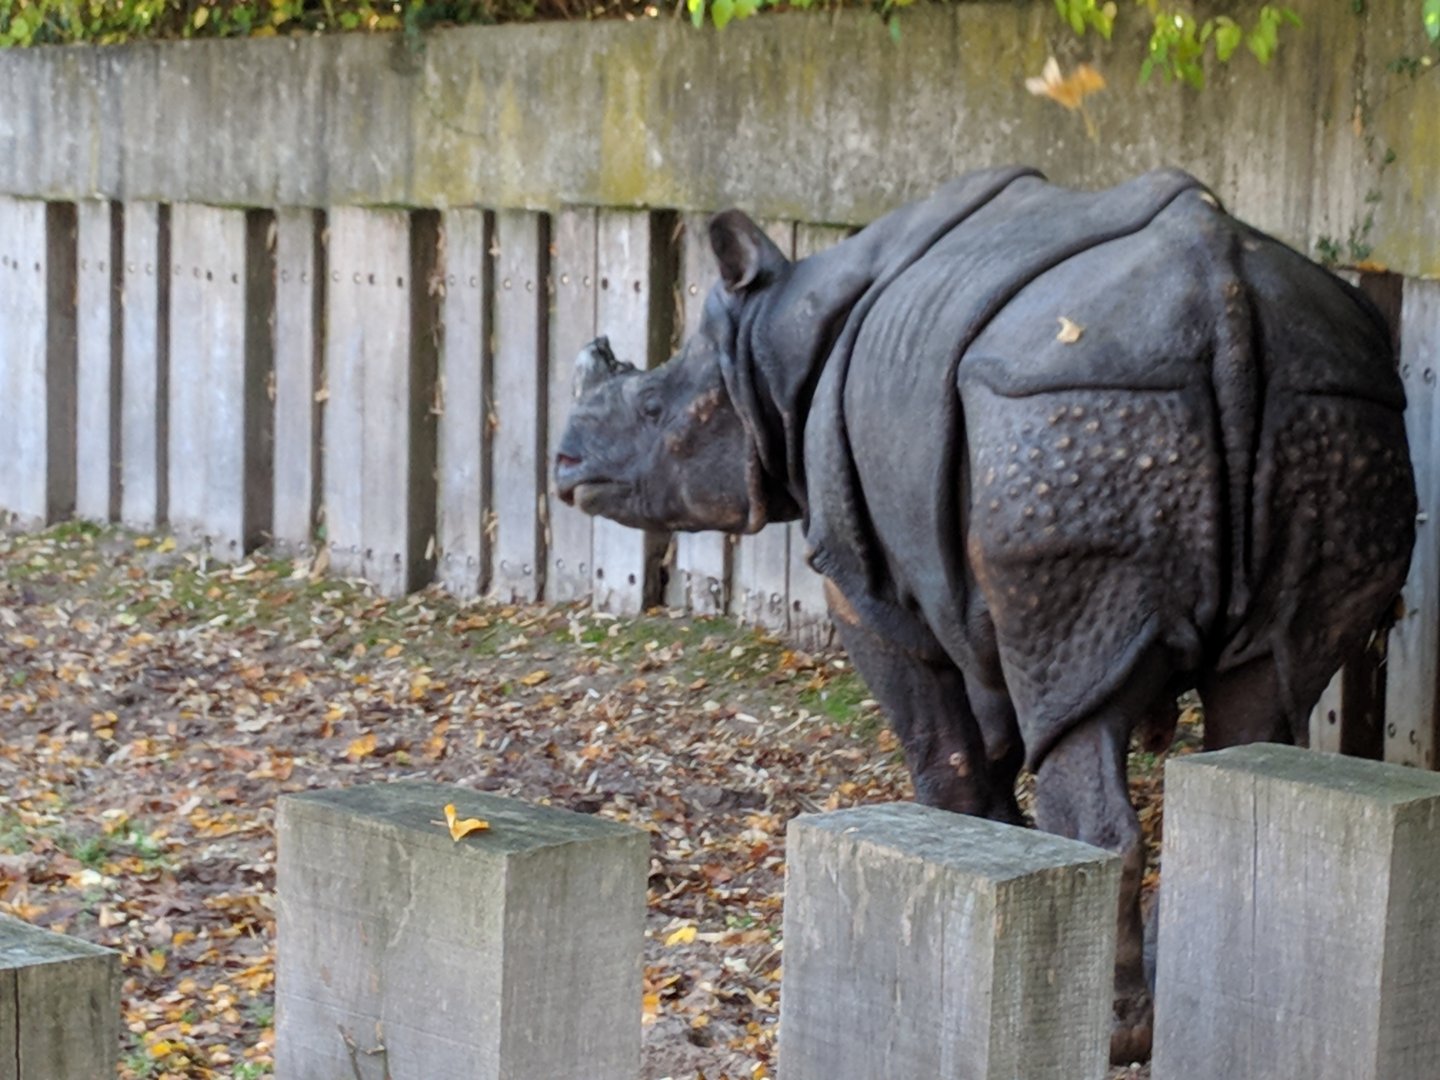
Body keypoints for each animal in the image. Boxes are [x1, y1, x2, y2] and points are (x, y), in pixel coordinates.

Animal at [554, 167, 1417, 1063]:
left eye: (654, 408)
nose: (565, 466)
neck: (772, 338)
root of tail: (1225, 299)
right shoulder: (970, 579)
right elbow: (997, 730)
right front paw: (1004, 848)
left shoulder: (864, 581)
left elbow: (943, 739)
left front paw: (956, 855)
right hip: (1332, 414)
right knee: (1261, 705)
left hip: (1069, 412)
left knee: (1086, 713)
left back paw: (1116, 1033)